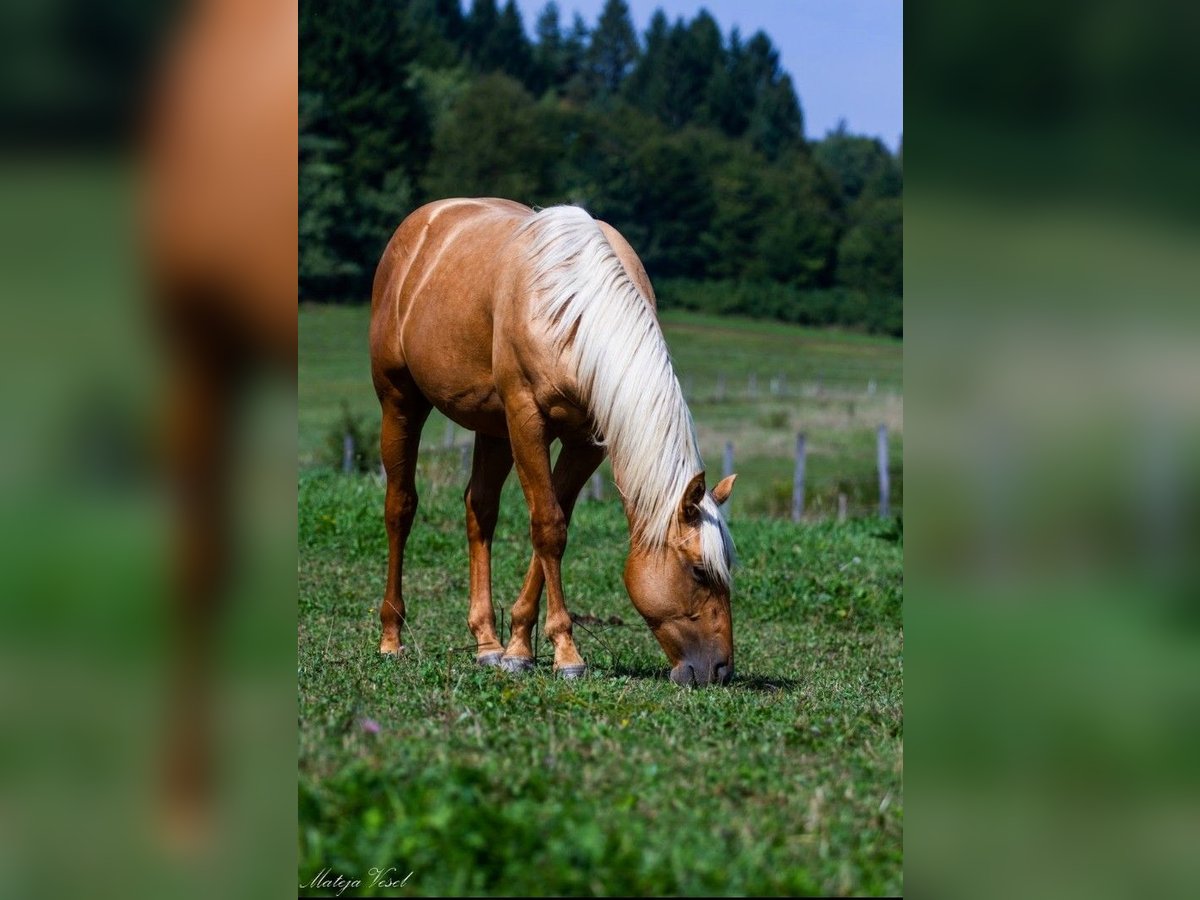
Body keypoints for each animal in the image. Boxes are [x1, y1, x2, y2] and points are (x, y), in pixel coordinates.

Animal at [369, 200, 734, 686]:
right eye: (698, 571)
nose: (721, 670)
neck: (574, 305)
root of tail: (421, 222)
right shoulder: (527, 420)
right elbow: (548, 527)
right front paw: (566, 654)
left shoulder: (587, 441)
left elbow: (556, 525)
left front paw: (519, 647)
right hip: (400, 401)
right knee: (401, 507)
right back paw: (391, 637)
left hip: (491, 425)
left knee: (479, 509)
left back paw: (487, 643)